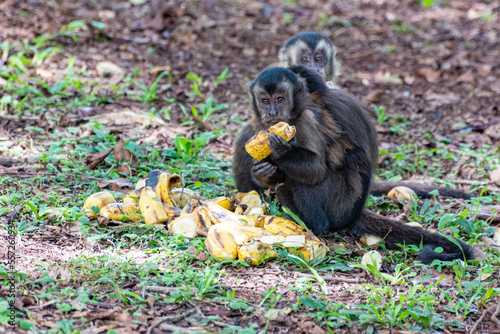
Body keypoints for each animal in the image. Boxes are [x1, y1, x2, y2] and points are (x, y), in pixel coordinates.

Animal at [232, 66, 474, 264]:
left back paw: (314, 224)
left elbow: (316, 169)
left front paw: (280, 152)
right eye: (265, 101)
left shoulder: (307, 119)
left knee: (301, 180)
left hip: (340, 201)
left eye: (281, 99)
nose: (273, 112)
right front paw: (263, 171)